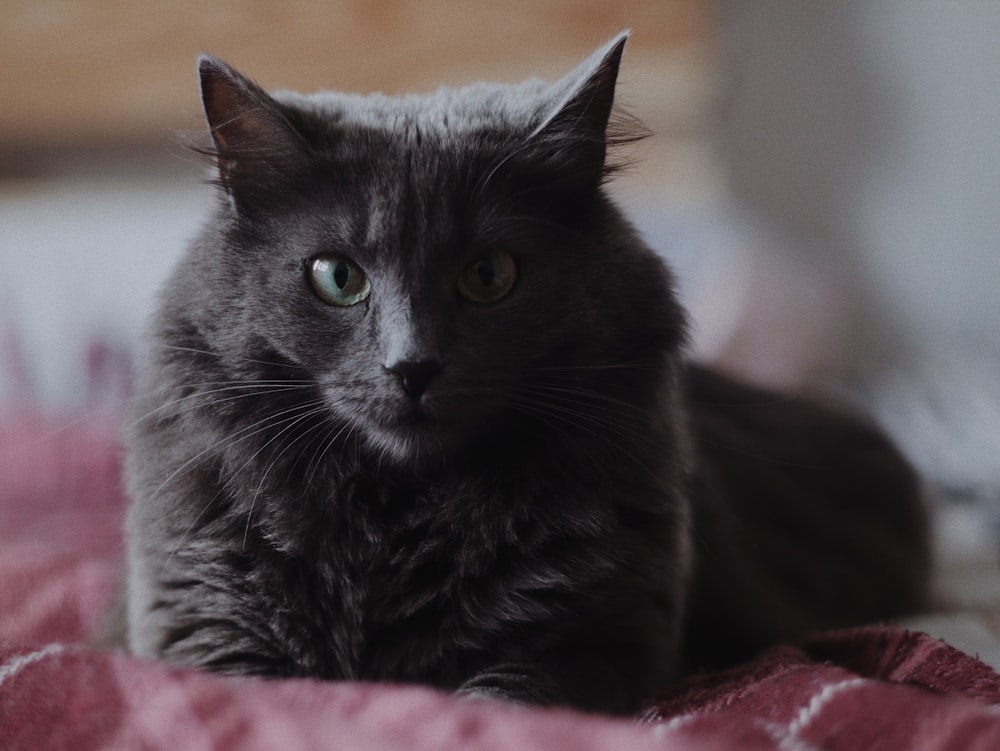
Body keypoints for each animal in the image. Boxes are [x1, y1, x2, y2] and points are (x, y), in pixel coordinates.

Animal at [123, 33, 928, 716]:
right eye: (337, 277)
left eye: (489, 275)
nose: (412, 365)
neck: (395, 516)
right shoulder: (207, 625)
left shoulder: (589, 638)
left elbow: (503, 706)